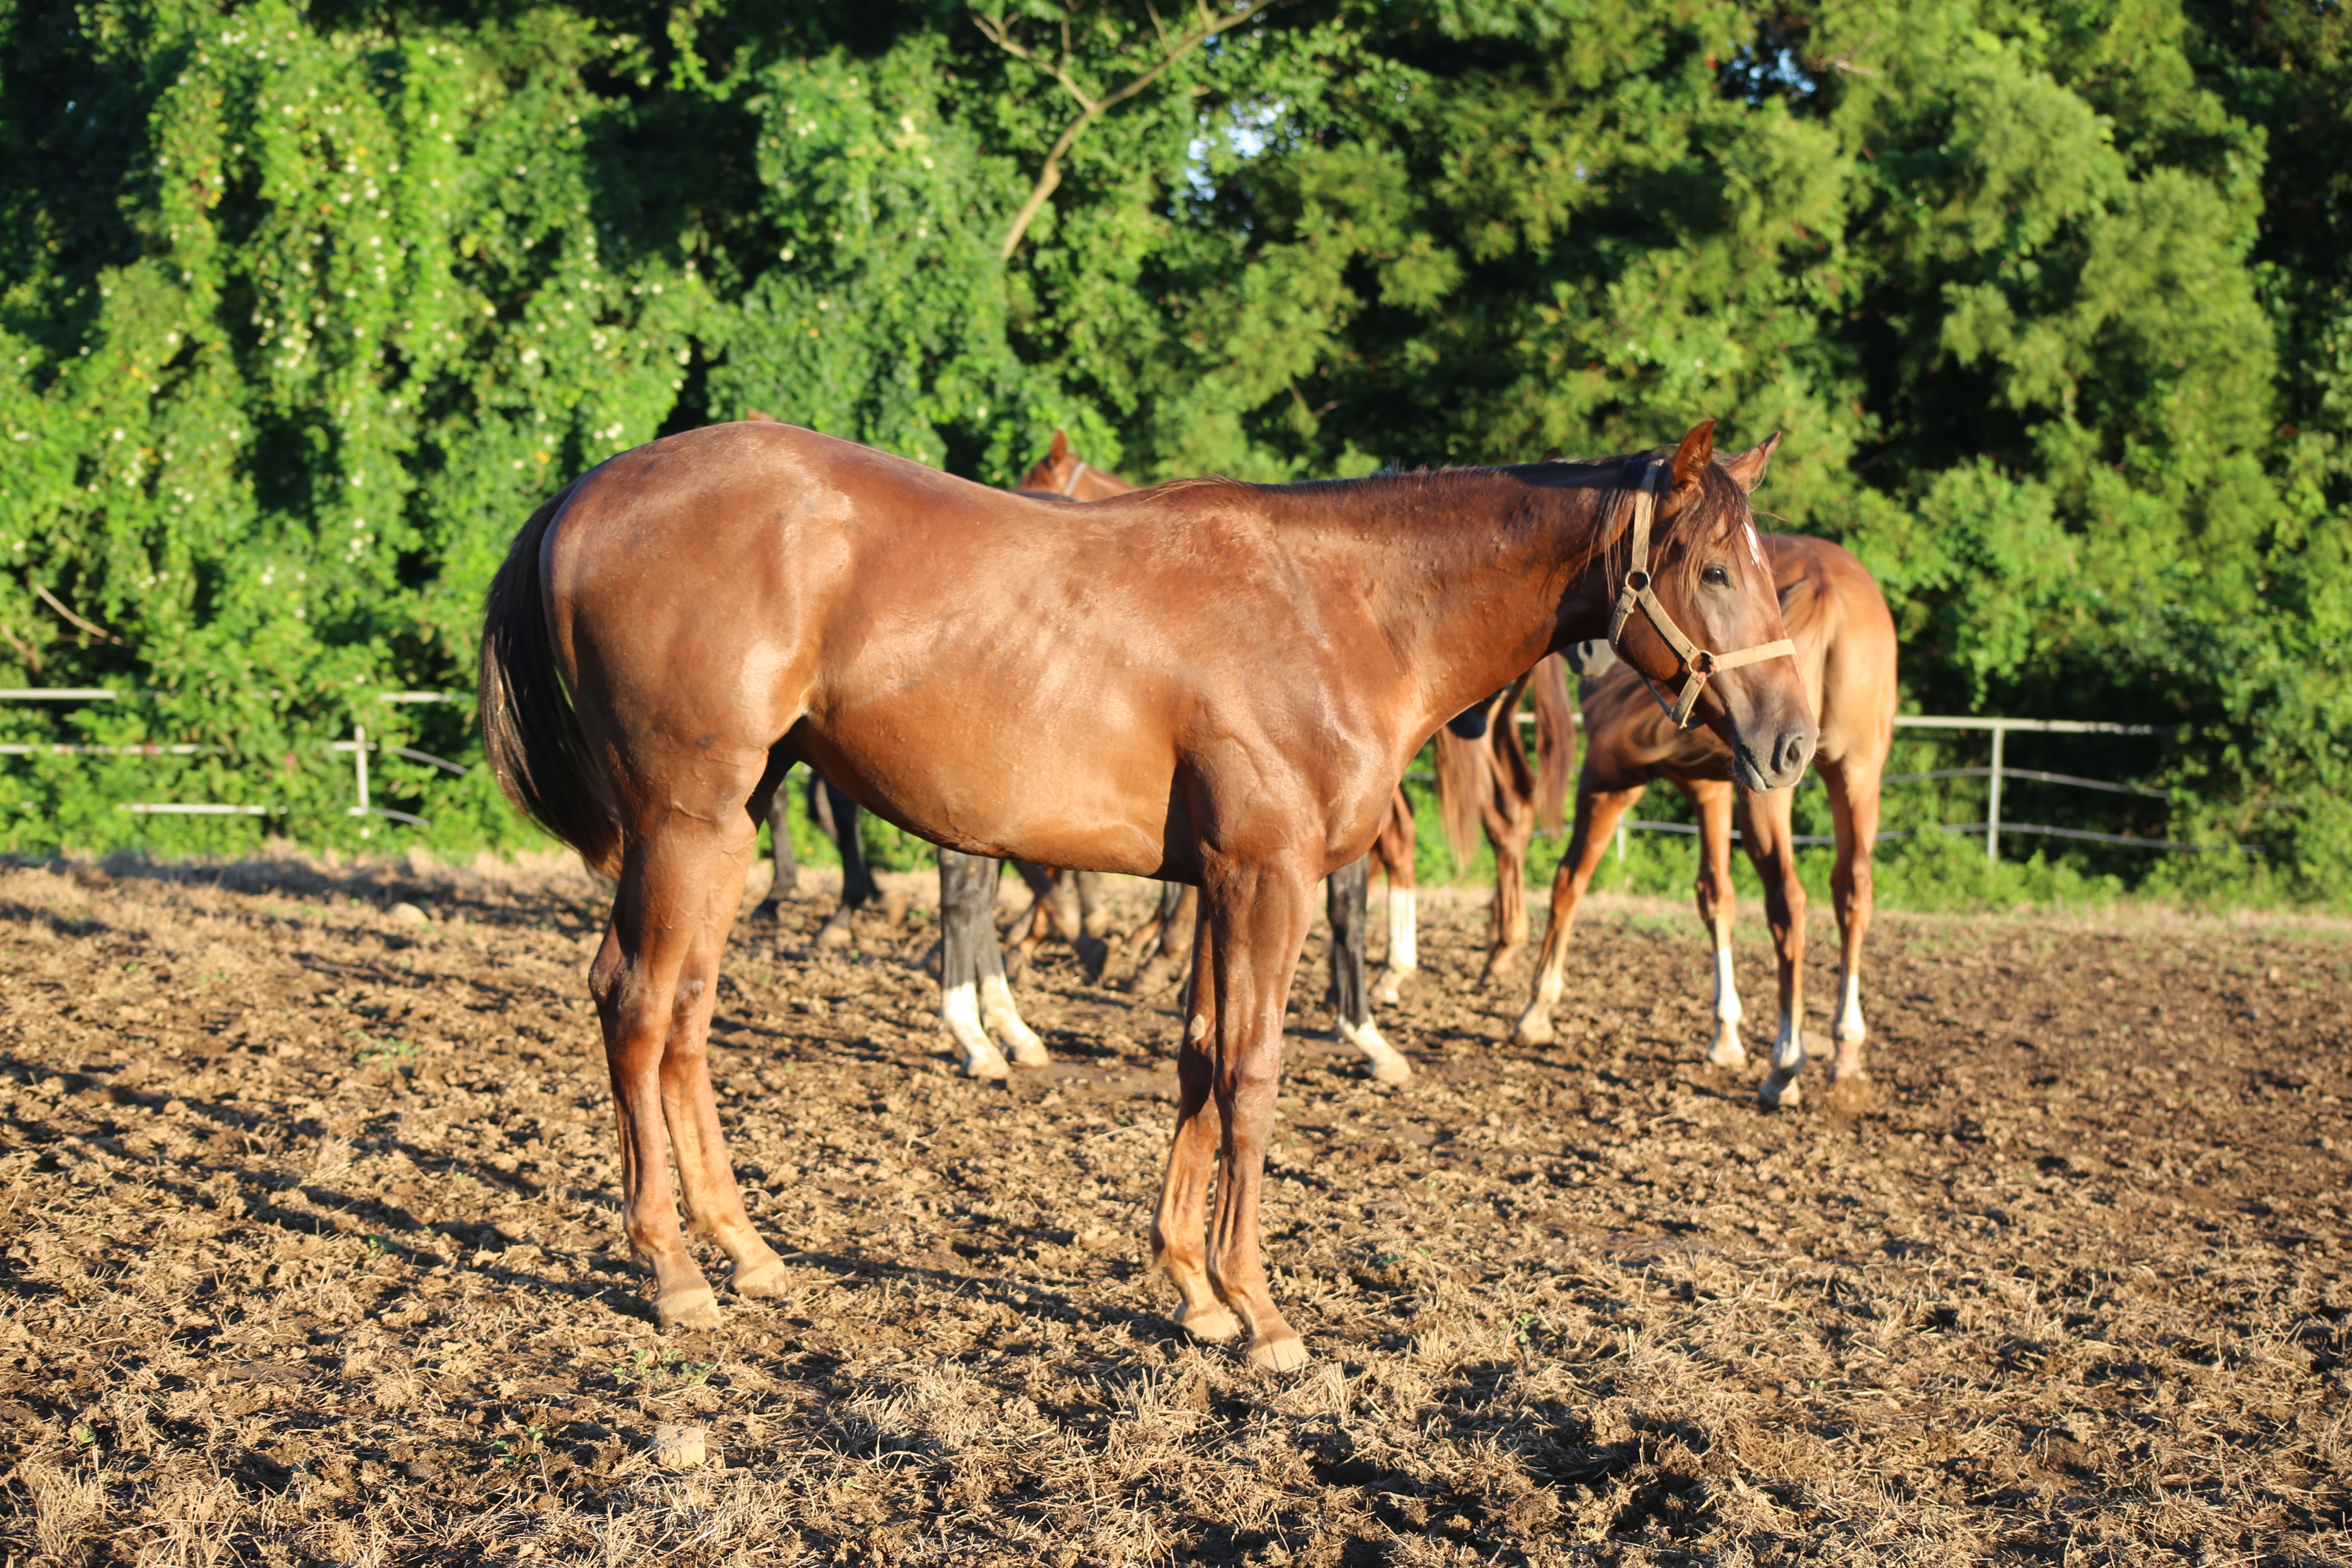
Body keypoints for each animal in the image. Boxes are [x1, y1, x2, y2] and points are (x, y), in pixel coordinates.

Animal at [472, 414, 1797, 1363]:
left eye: (1768, 572)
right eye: (1712, 568)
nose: (1787, 743)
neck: (1340, 607)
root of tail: (587, 494)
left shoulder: (1215, 883)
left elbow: (1199, 1059)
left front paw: (1191, 1288)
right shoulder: (1268, 881)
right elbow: (1253, 1077)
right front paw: (1259, 1312)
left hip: (731, 824)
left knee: (685, 1014)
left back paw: (744, 1249)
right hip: (687, 824)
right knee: (639, 1007)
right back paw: (674, 1271)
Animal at [1515, 533, 1900, 1109]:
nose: (1589, 655)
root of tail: (1824, 578)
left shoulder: (1608, 782)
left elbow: (1569, 880)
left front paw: (1537, 1007)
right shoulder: (1711, 791)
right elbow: (1717, 897)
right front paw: (1726, 1035)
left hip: (1774, 791)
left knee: (1789, 901)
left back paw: (1785, 1064)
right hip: (1857, 775)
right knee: (1854, 892)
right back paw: (1846, 1051)